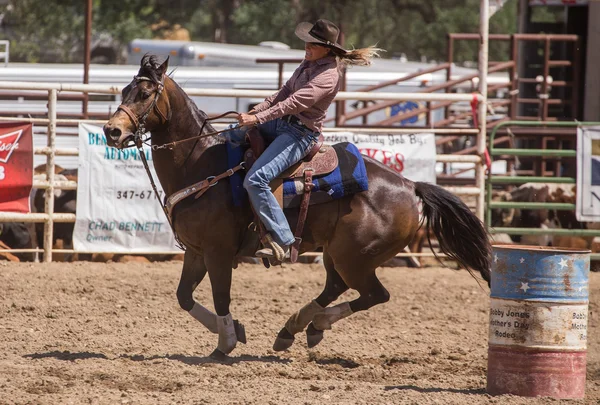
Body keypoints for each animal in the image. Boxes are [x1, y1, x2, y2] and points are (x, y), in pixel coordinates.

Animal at [102, 55, 488, 358]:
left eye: (145, 94)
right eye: (123, 92)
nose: (111, 131)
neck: (201, 163)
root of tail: (410, 186)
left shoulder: (218, 252)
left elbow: (221, 296)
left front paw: (226, 342)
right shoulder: (196, 251)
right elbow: (184, 297)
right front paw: (235, 330)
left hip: (355, 257)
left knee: (374, 294)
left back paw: (312, 323)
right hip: (339, 254)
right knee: (336, 288)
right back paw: (297, 327)